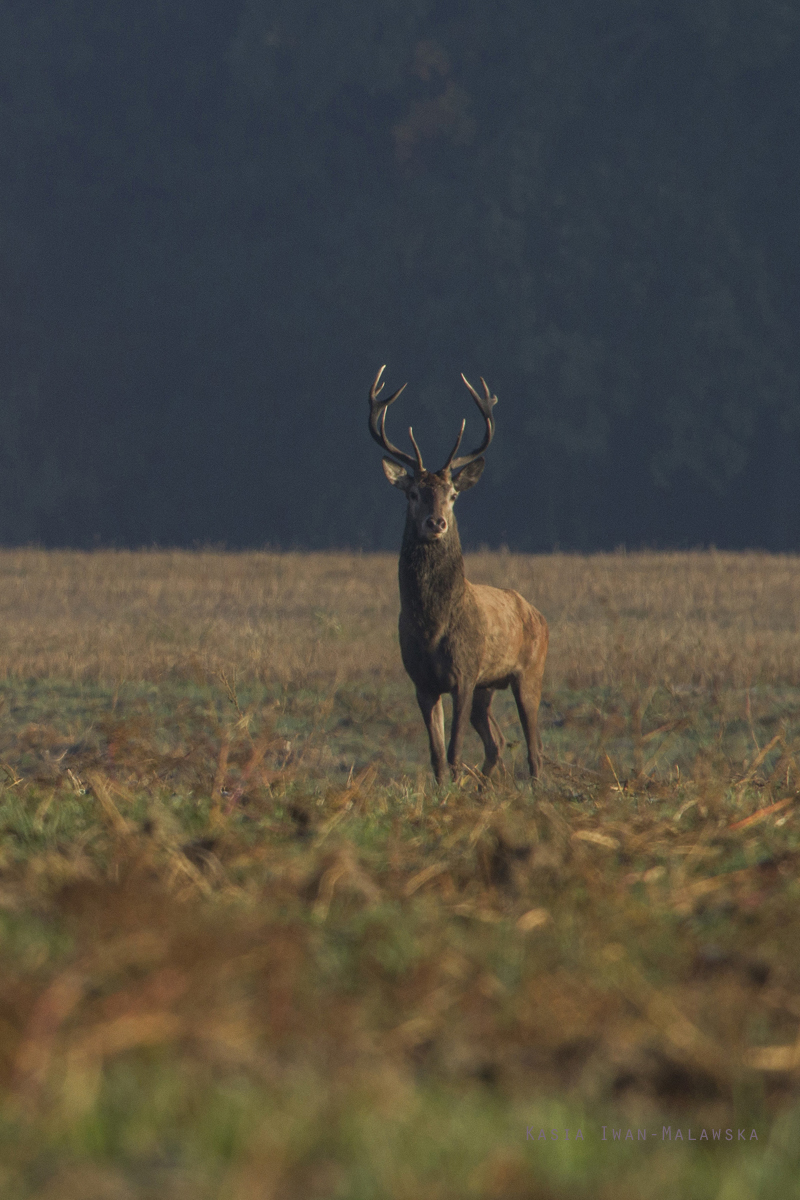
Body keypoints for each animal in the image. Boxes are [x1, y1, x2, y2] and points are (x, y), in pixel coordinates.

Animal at [371, 362, 551, 787]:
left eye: (452, 495)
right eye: (413, 493)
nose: (435, 522)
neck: (432, 626)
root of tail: (539, 615)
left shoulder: (465, 673)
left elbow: (453, 752)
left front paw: (456, 788)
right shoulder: (422, 681)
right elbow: (437, 756)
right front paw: (444, 791)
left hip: (530, 671)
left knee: (534, 747)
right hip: (489, 688)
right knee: (497, 742)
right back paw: (487, 786)